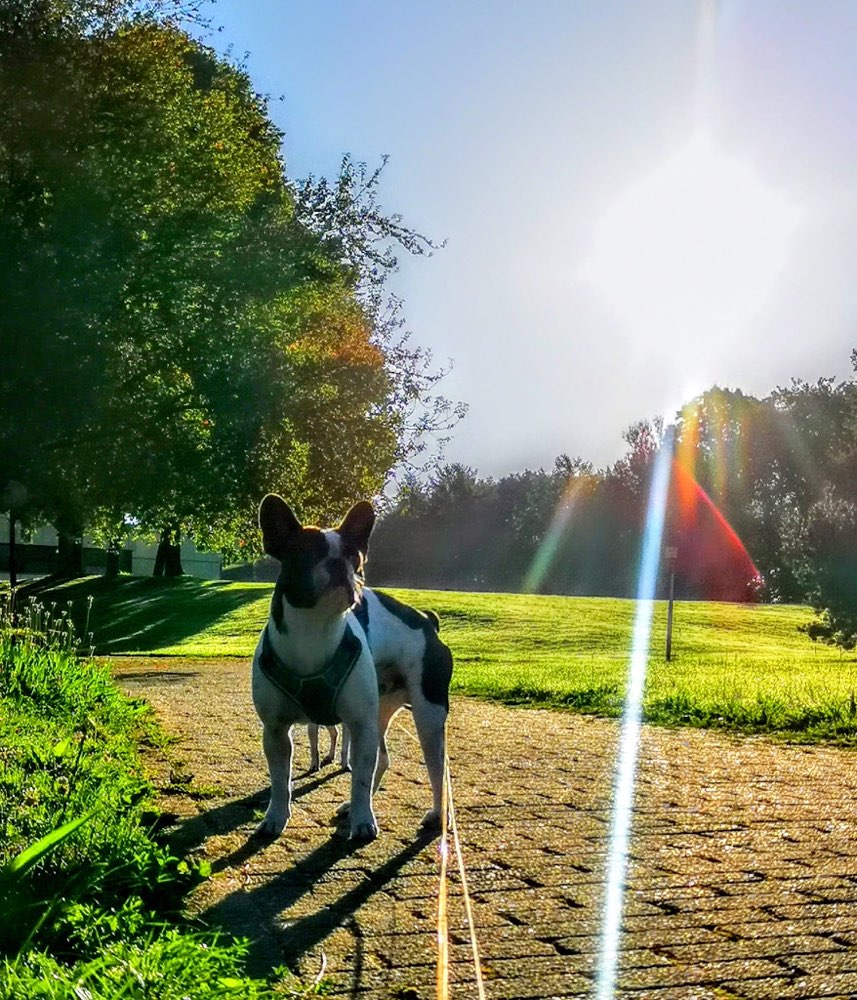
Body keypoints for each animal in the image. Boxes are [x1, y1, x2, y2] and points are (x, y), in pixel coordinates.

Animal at [252, 496, 454, 840]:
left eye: (352, 556)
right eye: (307, 553)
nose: (338, 563)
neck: (315, 629)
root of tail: (427, 621)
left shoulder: (359, 725)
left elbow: (359, 775)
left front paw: (363, 821)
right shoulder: (276, 730)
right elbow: (280, 780)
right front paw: (276, 817)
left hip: (427, 716)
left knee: (435, 770)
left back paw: (436, 816)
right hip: (380, 713)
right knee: (382, 758)